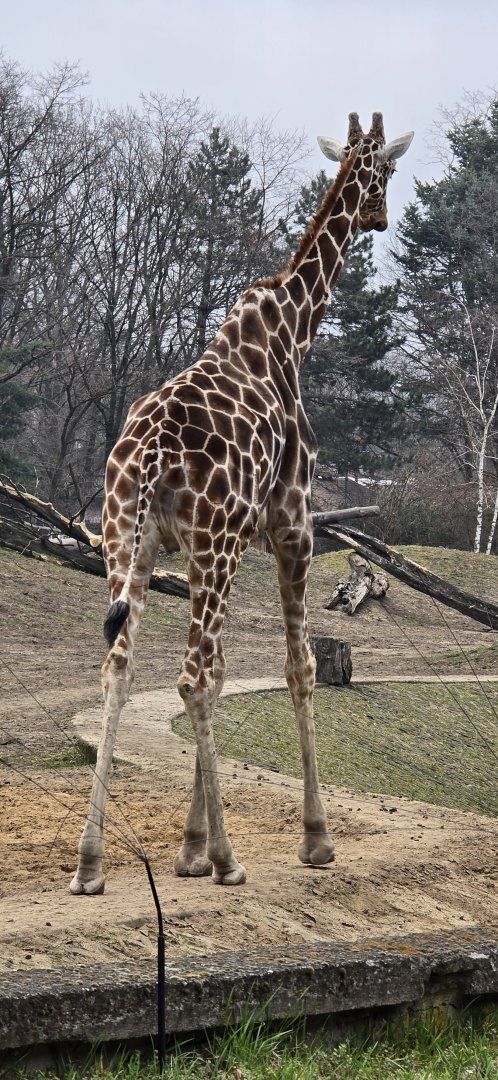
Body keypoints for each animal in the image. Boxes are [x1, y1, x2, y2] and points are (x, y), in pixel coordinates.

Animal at [70, 112, 413, 895]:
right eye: (384, 172)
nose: (381, 217)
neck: (290, 334)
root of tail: (151, 450)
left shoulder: (214, 543)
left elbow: (227, 672)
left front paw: (188, 850)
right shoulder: (293, 526)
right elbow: (297, 668)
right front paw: (311, 841)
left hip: (128, 542)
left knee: (121, 669)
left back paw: (91, 864)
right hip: (215, 542)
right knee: (189, 676)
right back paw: (230, 862)